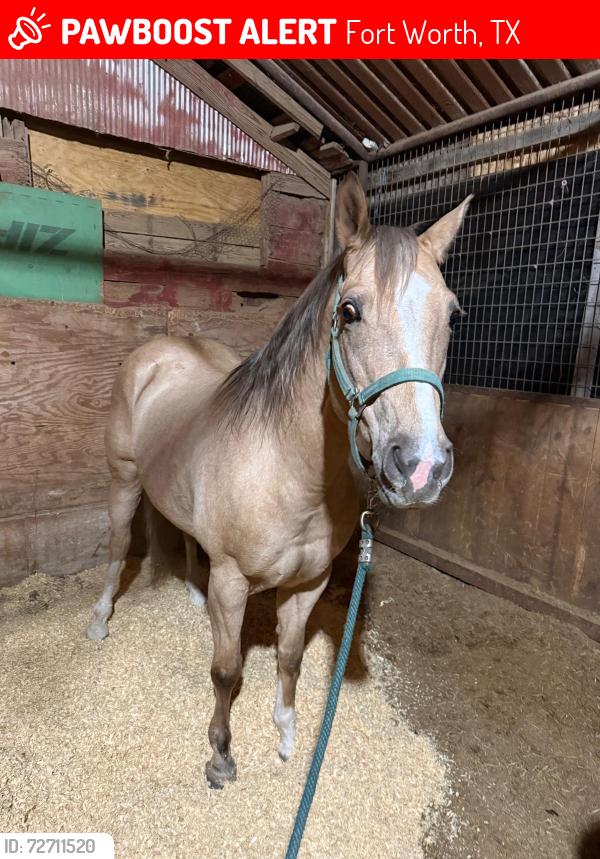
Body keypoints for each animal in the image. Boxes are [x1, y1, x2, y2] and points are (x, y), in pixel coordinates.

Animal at [86, 173, 471, 789]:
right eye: (349, 311)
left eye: (453, 315)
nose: (421, 468)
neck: (291, 474)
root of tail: (157, 351)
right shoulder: (233, 582)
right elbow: (225, 670)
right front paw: (220, 757)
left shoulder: (307, 584)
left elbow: (289, 658)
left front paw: (288, 734)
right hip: (123, 484)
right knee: (121, 546)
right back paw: (100, 622)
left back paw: (192, 595)